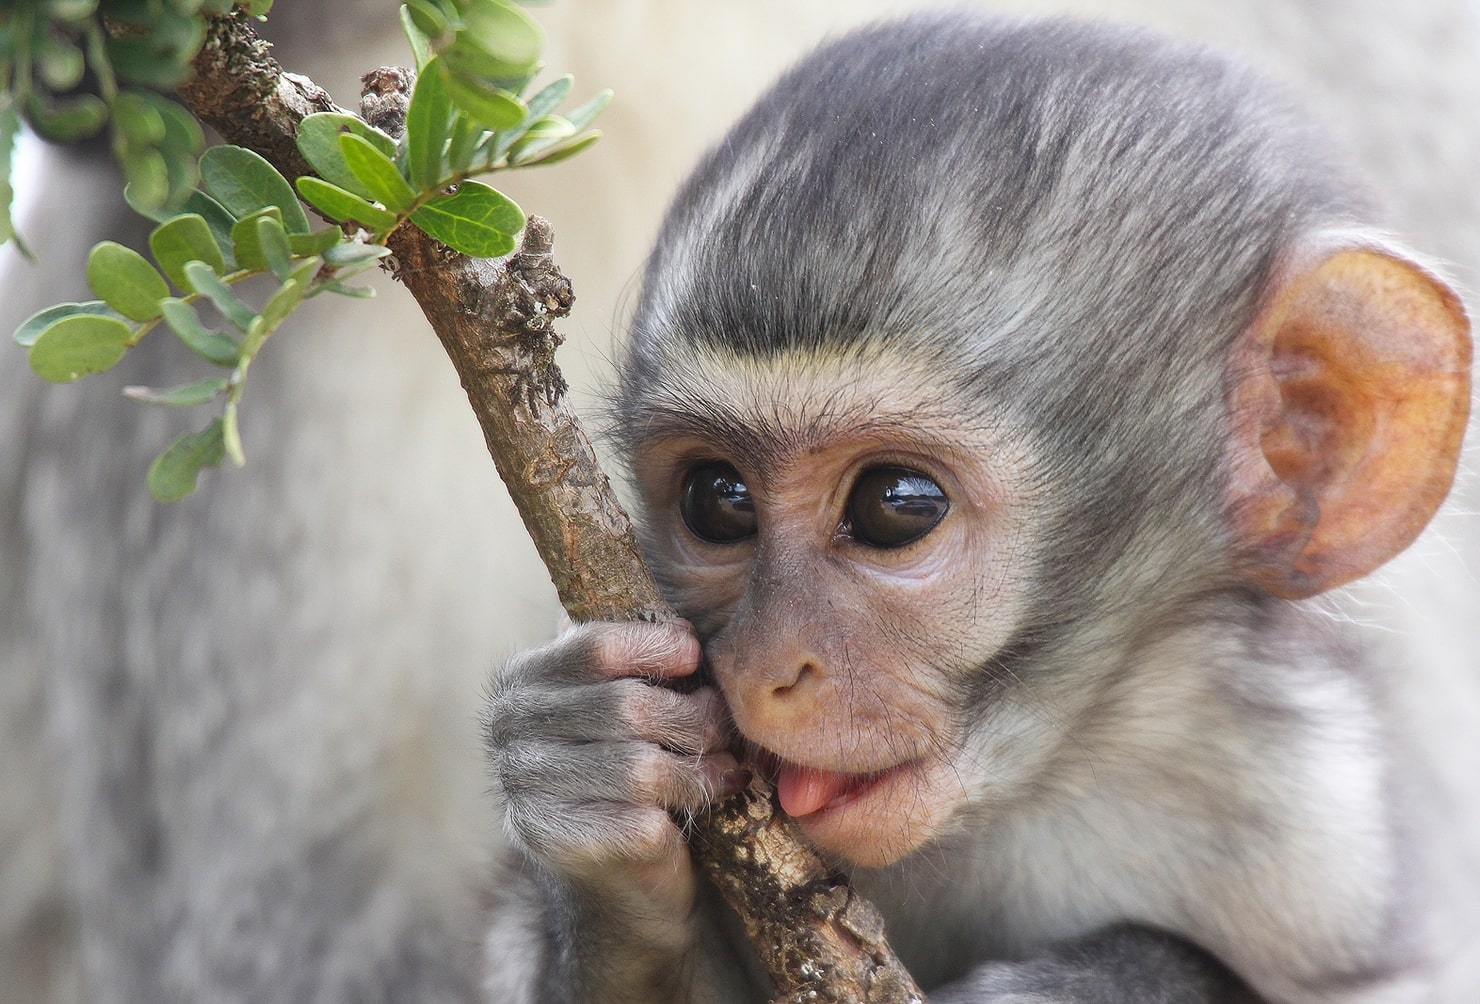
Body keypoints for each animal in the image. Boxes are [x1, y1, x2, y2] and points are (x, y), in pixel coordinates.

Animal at [482, 9, 1468, 1004]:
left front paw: (1109, 979)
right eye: (718, 499)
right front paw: (595, 799)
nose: (760, 667)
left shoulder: (1319, 824)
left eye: (896, 504)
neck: (1042, 781)